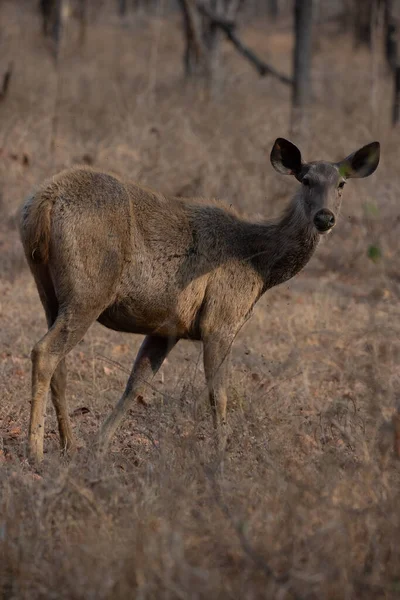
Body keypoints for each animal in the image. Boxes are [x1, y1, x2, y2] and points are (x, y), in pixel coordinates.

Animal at [19, 138, 382, 462]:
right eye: (305, 180)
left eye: (341, 184)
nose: (325, 218)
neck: (260, 265)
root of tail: (43, 202)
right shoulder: (221, 319)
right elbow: (218, 394)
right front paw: (221, 458)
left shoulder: (167, 328)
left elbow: (135, 385)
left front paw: (99, 447)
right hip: (90, 289)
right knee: (45, 352)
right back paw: (36, 452)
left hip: (48, 289)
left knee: (60, 362)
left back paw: (69, 445)